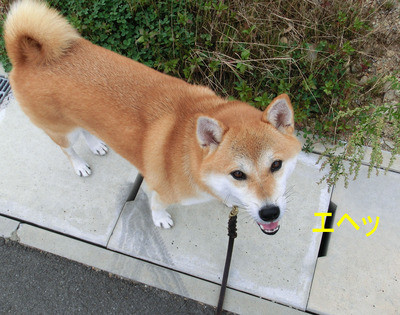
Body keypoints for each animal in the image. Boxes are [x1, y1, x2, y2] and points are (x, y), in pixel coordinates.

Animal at [5, 0, 300, 235]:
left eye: (276, 165)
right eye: (238, 173)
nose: (269, 213)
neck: (191, 154)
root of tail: (29, 56)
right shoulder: (157, 189)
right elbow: (157, 206)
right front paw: (160, 219)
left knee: (87, 130)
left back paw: (96, 144)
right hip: (62, 130)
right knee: (68, 150)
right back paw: (79, 164)